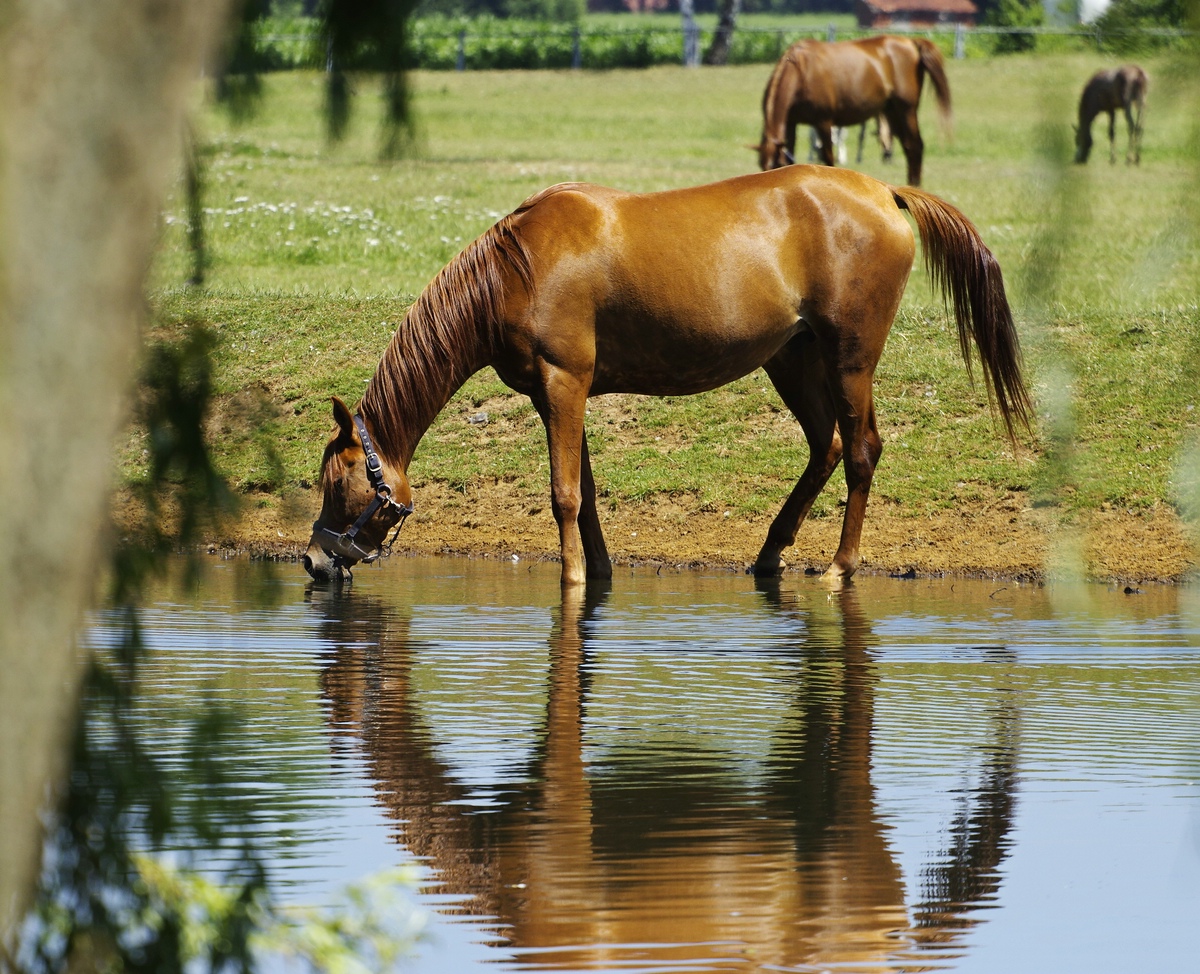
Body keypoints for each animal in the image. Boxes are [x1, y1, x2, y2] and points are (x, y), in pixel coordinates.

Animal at [304, 166, 1027, 585]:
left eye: (338, 483)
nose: (312, 560)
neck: (518, 269)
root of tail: (884, 192)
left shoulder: (563, 383)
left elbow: (563, 493)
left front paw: (570, 577)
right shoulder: (558, 393)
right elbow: (588, 492)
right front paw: (597, 571)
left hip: (849, 358)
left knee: (862, 451)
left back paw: (839, 566)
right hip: (791, 359)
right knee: (827, 446)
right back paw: (771, 551)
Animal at [753, 36, 950, 188]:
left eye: (776, 164)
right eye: (763, 166)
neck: (801, 72)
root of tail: (911, 42)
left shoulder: (823, 122)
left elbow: (827, 156)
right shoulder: (791, 123)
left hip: (906, 110)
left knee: (916, 144)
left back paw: (915, 185)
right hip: (892, 112)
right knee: (908, 145)